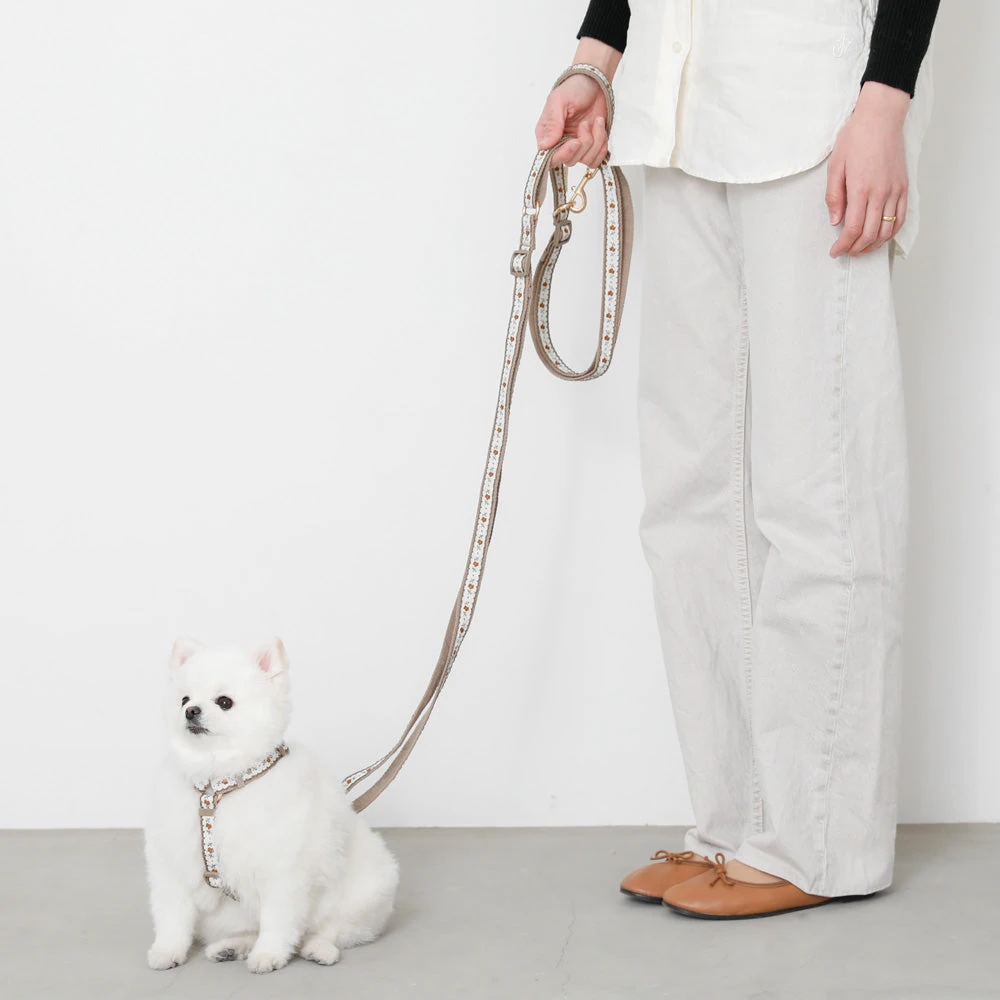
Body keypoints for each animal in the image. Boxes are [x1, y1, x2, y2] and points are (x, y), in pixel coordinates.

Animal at [144, 637, 399, 973]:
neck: (217, 785)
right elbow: (172, 916)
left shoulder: (283, 871)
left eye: (224, 702)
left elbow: (278, 921)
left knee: (333, 930)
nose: (191, 711)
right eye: (184, 699)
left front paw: (269, 954)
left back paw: (318, 949)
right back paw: (230, 947)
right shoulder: (173, 865)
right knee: (250, 928)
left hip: (367, 891)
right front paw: (167, 950)